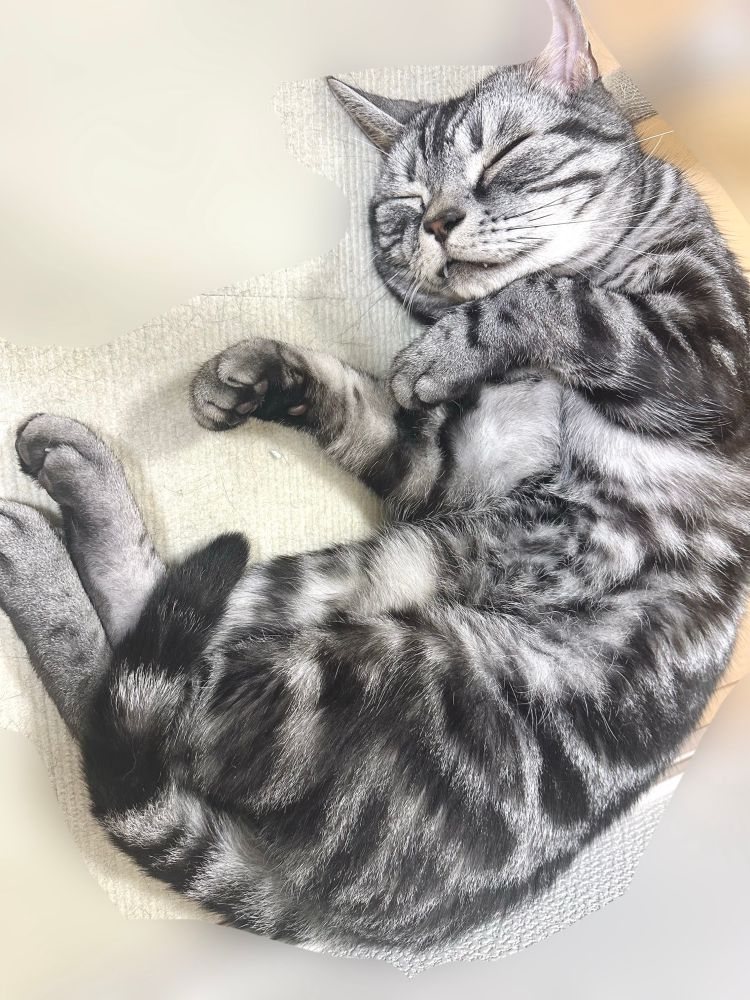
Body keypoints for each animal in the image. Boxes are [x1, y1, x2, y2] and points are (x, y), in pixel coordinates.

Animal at [1, 0, 748, 952]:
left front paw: (445, 345)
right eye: (402, 204)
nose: (438, 222)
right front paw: (262, 372)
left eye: (503, 158)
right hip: (407, 568)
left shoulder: (705, 359)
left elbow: (557, 299)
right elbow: (360, 404)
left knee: (140, 671)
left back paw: (43, 532)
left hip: (364, 626)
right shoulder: (450, 468)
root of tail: (320, 912)